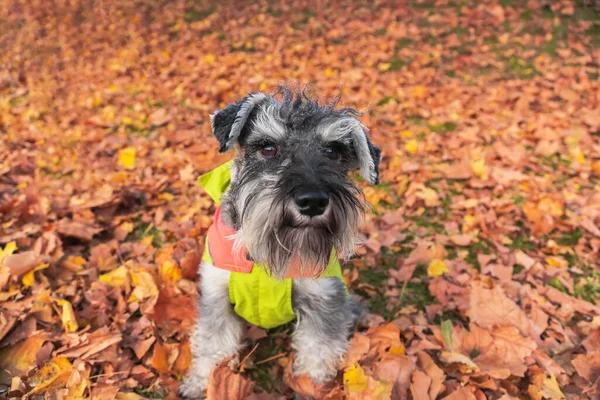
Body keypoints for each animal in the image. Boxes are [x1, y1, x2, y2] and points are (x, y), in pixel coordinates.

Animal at [180, 84, 382, 396]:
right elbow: (213, 346)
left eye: (333, 151)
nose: (312, 201)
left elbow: (318, 351)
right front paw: (202, 383)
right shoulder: (216, 295)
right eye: (268, 148)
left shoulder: (323, 298)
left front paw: (313, 387)